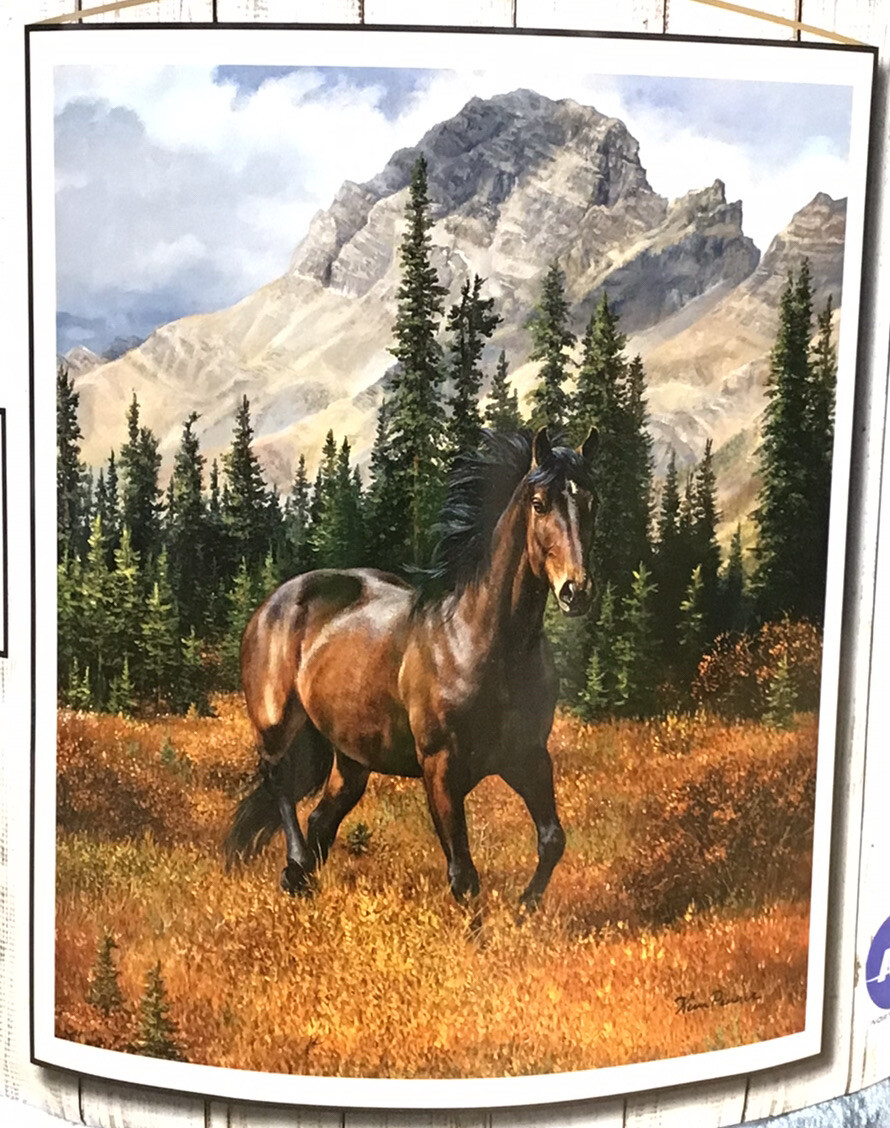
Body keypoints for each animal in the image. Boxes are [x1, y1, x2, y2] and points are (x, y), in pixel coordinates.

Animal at [224, 426, 597, 909]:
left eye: (592, 501)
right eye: (539, 503)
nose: (576, 591)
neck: (481, 641)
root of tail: (275, 601)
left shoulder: (527, 756)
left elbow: (552, 840)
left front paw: (523, 910)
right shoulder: (440, 767)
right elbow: (463, 875)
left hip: (351, 756)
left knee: (321, 819)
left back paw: (303, 885)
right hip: (276, 724)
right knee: (280, 785)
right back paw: (297, 867)